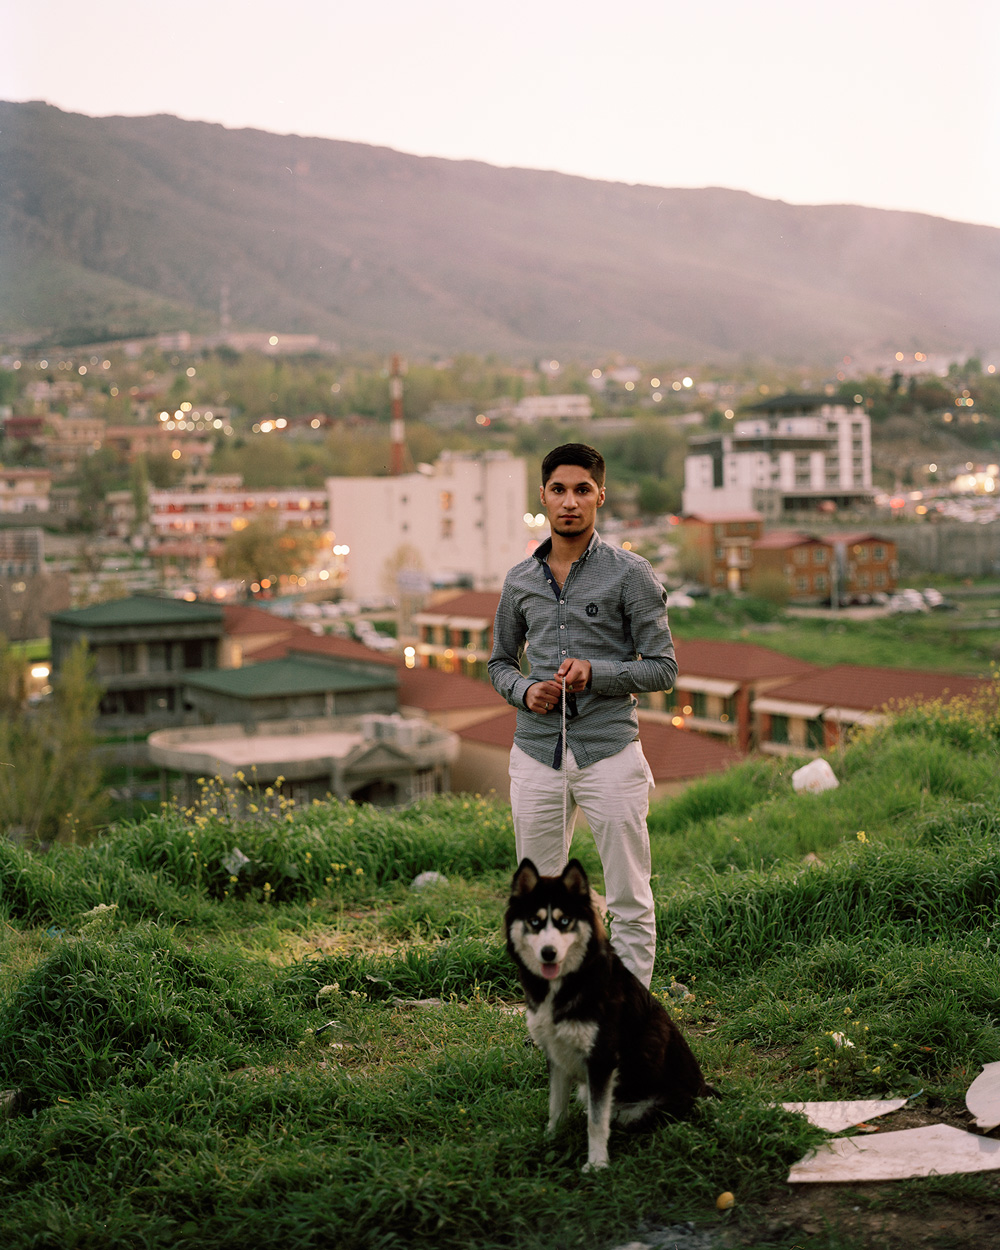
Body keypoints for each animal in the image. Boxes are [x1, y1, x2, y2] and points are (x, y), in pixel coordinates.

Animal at [505, 855, 715, 1165]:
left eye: (565, 921)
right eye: (534, 922)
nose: (548, 953)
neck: (566, 984)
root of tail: (704, 1092)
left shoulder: (601, 1060)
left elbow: (596, 1121)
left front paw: (596, 1164)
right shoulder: (556, 1055)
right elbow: (556, 1108)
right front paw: (550, 1141)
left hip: (640, 1107)